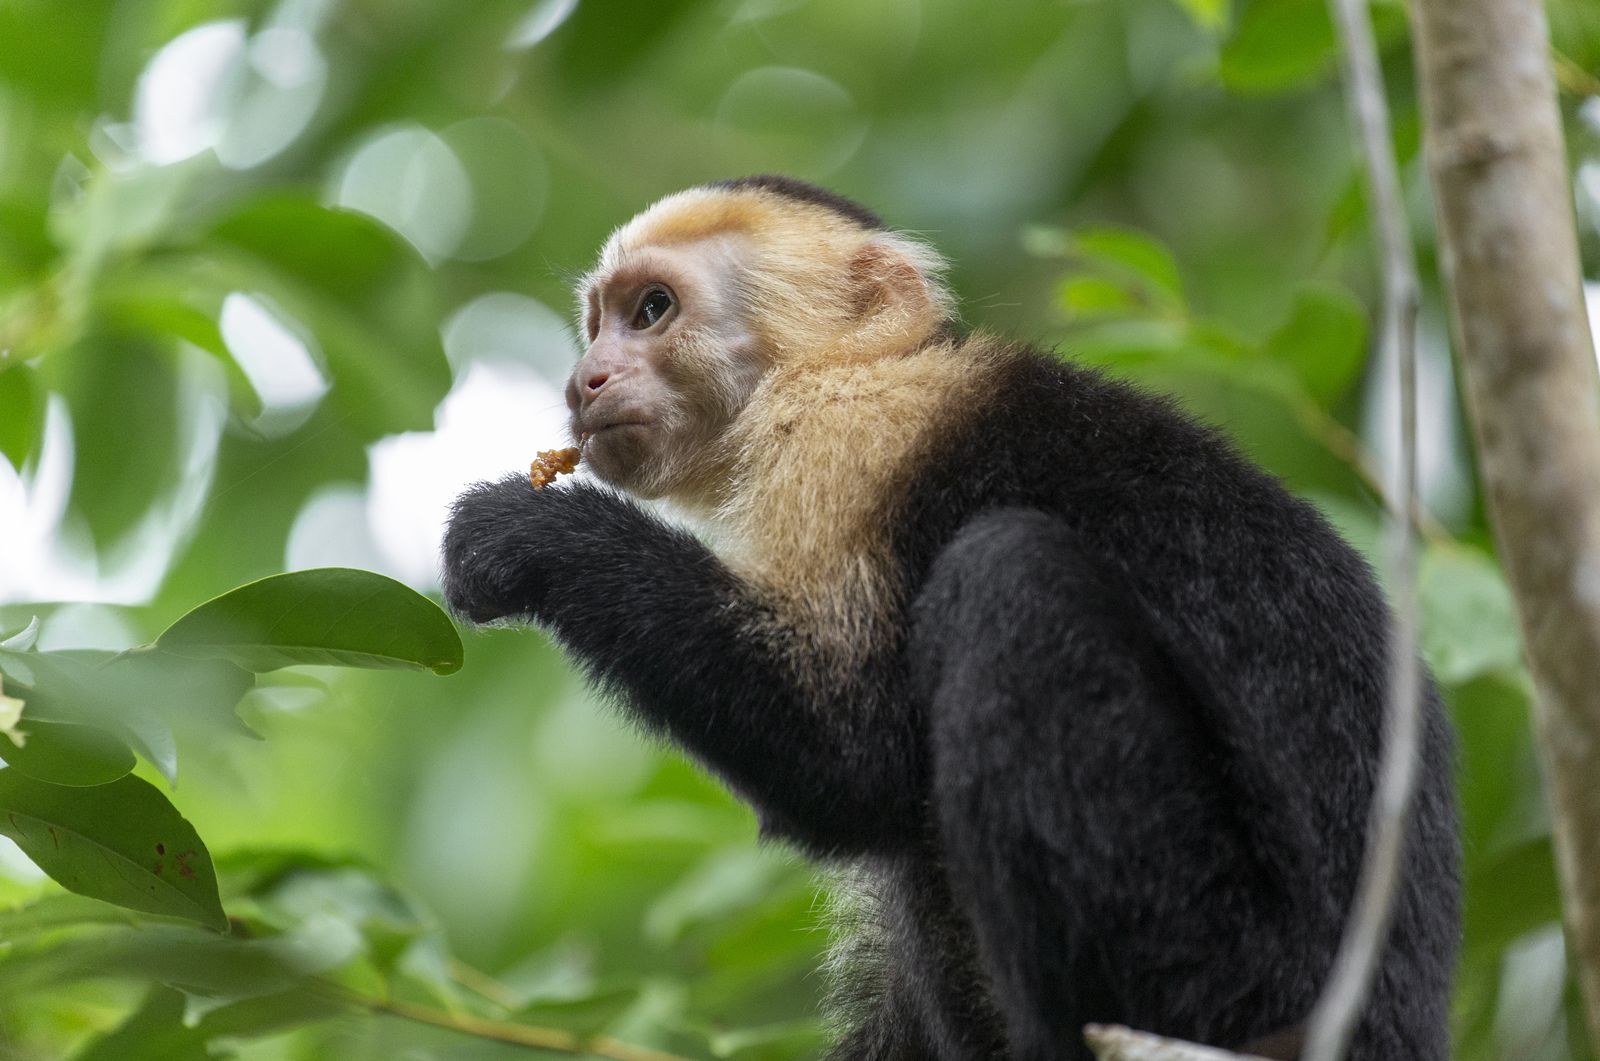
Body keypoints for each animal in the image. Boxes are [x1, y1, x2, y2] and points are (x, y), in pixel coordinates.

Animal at [441, 175, 1460, 1060]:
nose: (584, 378)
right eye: (597, 324)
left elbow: (850, 758)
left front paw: (535, 534)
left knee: (1006, 582)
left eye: (652, 310)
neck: (848, 369)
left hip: (1235, 971)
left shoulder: (842, 439)